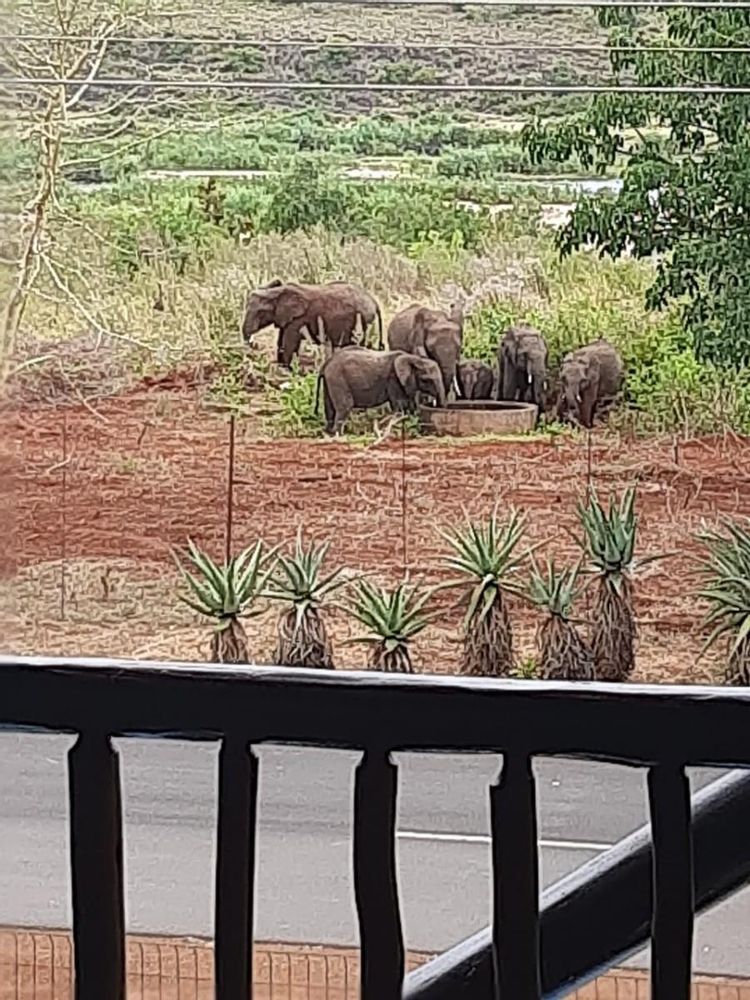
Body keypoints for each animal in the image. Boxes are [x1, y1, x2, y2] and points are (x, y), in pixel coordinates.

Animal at [242, 280, 383, 367]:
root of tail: (375, 302)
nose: (253, 344)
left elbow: (289, 344)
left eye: (260, 312)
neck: (277, 292)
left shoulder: (298, 319)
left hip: (363, 321)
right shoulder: (287, 318)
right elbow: (281, 341)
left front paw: (287, 368)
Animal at [316, 347, 446, 436]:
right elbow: (400, 405)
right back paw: (338, 435)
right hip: (338, 379)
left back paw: (328, 433)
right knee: (345, 406)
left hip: (330, 381)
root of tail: (326, 363)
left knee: (330, 408)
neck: (412, 357)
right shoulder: (394, 380)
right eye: (426, 380)